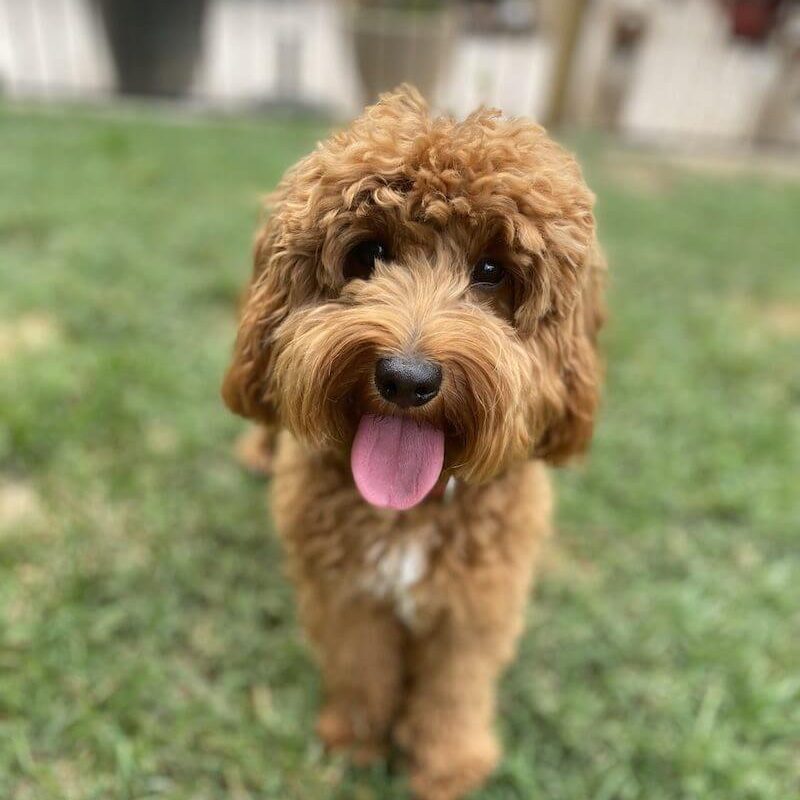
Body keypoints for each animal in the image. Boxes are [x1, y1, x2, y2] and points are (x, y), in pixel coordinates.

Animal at [222, 87, 604, 800]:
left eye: (492, 270)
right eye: (368, 254)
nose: (406, 378)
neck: (412, 509)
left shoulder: (476, 602)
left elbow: (454, 688)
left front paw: (447, 766)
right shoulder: (347, 590)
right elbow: (361, 667)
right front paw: (355, 741)